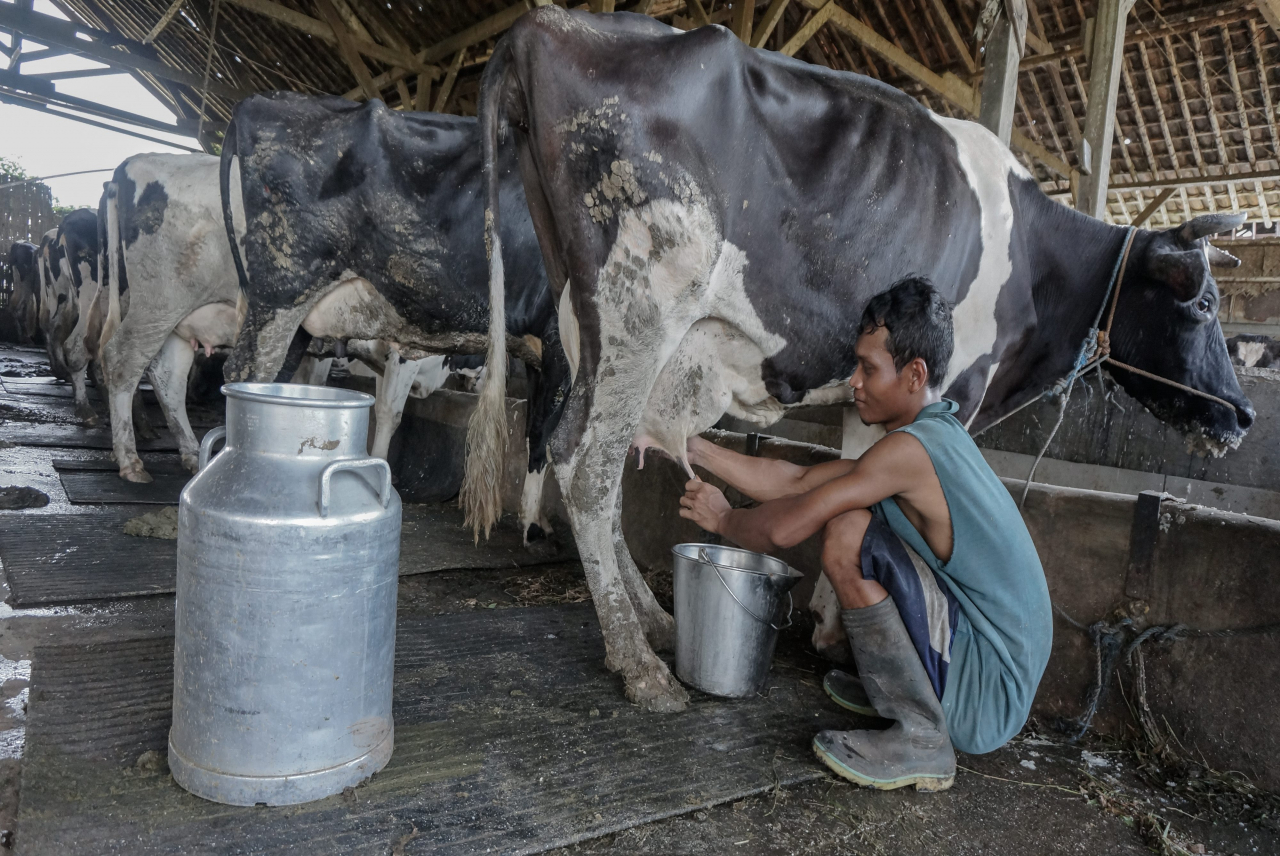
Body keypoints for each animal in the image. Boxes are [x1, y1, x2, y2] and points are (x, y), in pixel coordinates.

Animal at [224, 88, 570, 539]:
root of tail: (256, 102)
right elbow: (544, 431)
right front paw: (531, 524)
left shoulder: (536, 351)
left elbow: (531, 427)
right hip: (279, 295)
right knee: (244, 374)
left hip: (294, 321)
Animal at [465, 9, 1254, 711]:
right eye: (1204, 304)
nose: (1243, 414)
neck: (1034, 260)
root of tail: (547, 23)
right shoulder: (959, 387)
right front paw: (845, 638)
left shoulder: (871, 398)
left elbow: (850, 480)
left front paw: (828, 626)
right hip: (640, 306)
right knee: (586, 465)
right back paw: (640, 665)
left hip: (587, 321)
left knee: (586, 454)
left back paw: (656, 623)